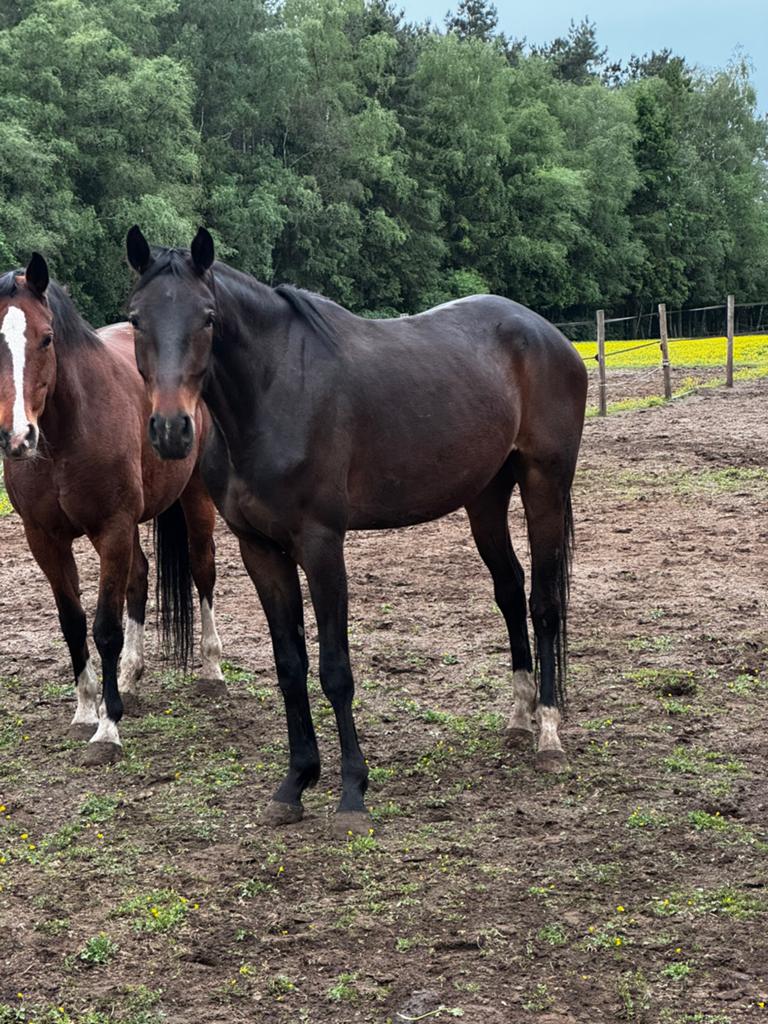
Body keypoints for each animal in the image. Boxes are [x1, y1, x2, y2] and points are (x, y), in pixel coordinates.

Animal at [0, 254, 225, 765]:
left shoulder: (112, 528)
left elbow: (105, 628)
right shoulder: (44, 538)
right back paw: (128, 679)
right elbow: (72, 622)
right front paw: (87, 710)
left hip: (195, 500)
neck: (65, 435)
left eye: (46, 337)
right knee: (139, 578)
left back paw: (211, 670)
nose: (18, 437)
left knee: (202, 569)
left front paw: (108, 729)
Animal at [125, 225, 588, 834]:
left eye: (207, 317)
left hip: (544, 485)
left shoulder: (322, 545)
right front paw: (294, 784)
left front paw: (351, 793)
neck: (274, 393)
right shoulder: (260, 550)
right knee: (510, 593)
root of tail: (549, 336)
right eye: (135, 319)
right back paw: (520, 717)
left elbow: (334, 670)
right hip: (486, 495)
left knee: (544, 603)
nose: (172, 430)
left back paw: (549, 733)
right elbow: (290, 666)